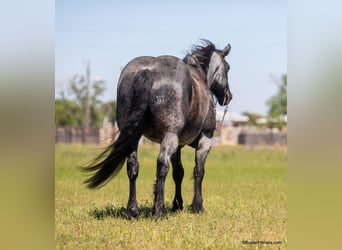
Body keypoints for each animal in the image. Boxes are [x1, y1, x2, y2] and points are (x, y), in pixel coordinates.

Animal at [81, 40, 234, 218]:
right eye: (227, 67)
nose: (228, 96)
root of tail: (148, 70)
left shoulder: (178, 145)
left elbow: (178, 173)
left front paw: (177, 204)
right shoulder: (205, 139)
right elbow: (198, 171)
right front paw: (197, 206)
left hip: (134, 137)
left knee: (133, 166)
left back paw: (132, 210)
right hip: (169, 136)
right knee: (162, 165)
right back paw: (159, 211)